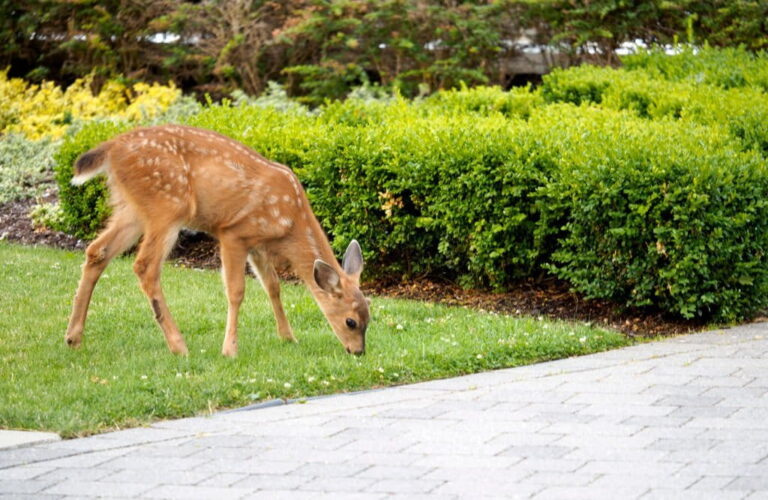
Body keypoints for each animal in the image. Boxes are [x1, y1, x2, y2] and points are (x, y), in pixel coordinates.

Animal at [64, 124, 370, 356]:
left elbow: (273, 286)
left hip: (132, 208)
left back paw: (73, 337)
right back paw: (178, 346)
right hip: (167, 206)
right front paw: (230, 349)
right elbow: (236, 291)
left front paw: (288, 337)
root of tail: (111, 148)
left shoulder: (257, 244)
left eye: (370, 317)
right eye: (351, 322)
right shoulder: (233, 232)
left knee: (97, 251)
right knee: (145, 266)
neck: (290, 222)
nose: (358, 352)